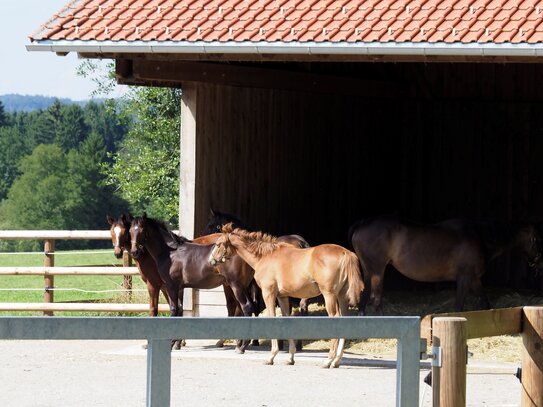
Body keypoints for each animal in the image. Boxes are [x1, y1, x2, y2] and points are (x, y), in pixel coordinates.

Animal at [131, 214, 260, 354]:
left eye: (142, 231)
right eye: (131, 231)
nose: (134, 252)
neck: (169, 252)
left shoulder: (171, 286)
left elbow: (174, 309)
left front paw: (172, 343)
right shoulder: (179, 288)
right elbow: (180, 309)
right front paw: (176, 342)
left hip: (236, 286)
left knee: (246, 307)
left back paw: (242, 346)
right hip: (242, 286)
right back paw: (240, 344)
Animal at [348, 217, 543, 316]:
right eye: (536, 239)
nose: (538, 261)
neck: (479, 237)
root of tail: (362, 225)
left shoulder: (474, 279)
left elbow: (484, 301)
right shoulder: (465, 279)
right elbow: (459, 306)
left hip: (369, 270)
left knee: (365, 296)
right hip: (378, 270)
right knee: (376, 299)